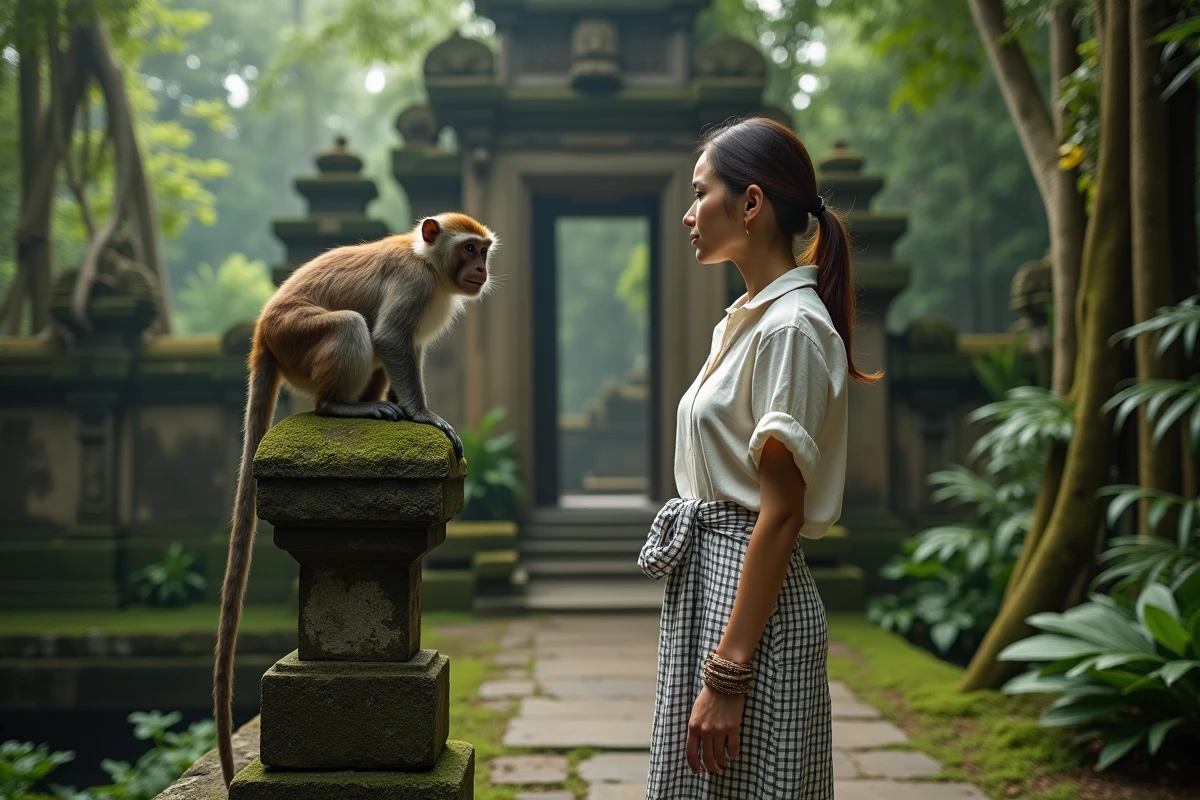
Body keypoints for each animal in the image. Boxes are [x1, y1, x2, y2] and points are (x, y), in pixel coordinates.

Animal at [212, 212, 498, 789]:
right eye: (469, 249)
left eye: (485, 251)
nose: (481, 269)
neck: (428, 263)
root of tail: (262, 331)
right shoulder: (413, 286)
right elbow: (389, 337)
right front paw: (424, 416)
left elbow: (401, 346)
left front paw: (407, 409)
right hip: (298, 338)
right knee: (351, 328)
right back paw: (341, 407)